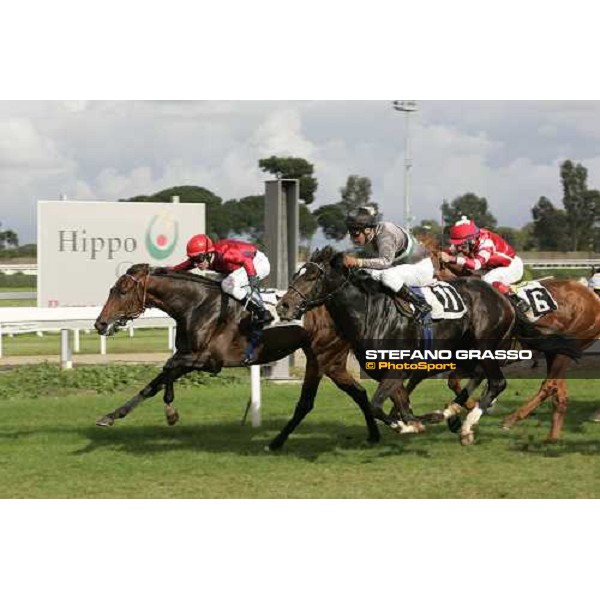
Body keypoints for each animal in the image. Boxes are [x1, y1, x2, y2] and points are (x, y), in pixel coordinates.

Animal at [94, 264, 380, 450]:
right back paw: (375, 433)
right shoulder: (190, 355)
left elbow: (167, 369)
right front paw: (112, 415)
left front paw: (169, 409)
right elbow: (156, 382)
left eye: (121, 291)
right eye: (111, 289)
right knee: (358, 392)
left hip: (322, 356)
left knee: (309, 402)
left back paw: (277, 443)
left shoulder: (209, 361)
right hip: (330, 361)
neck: (197, 305)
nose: (99, 324)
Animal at [422, 234, 600, 440]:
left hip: (567, 348)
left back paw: (512, 419)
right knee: (559, 393)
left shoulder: (486, 359)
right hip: (555, 352)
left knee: (549, 385)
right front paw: (457, 415)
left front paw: (474, 410)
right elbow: (453, 381)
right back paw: (551, 439)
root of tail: (593, 298)